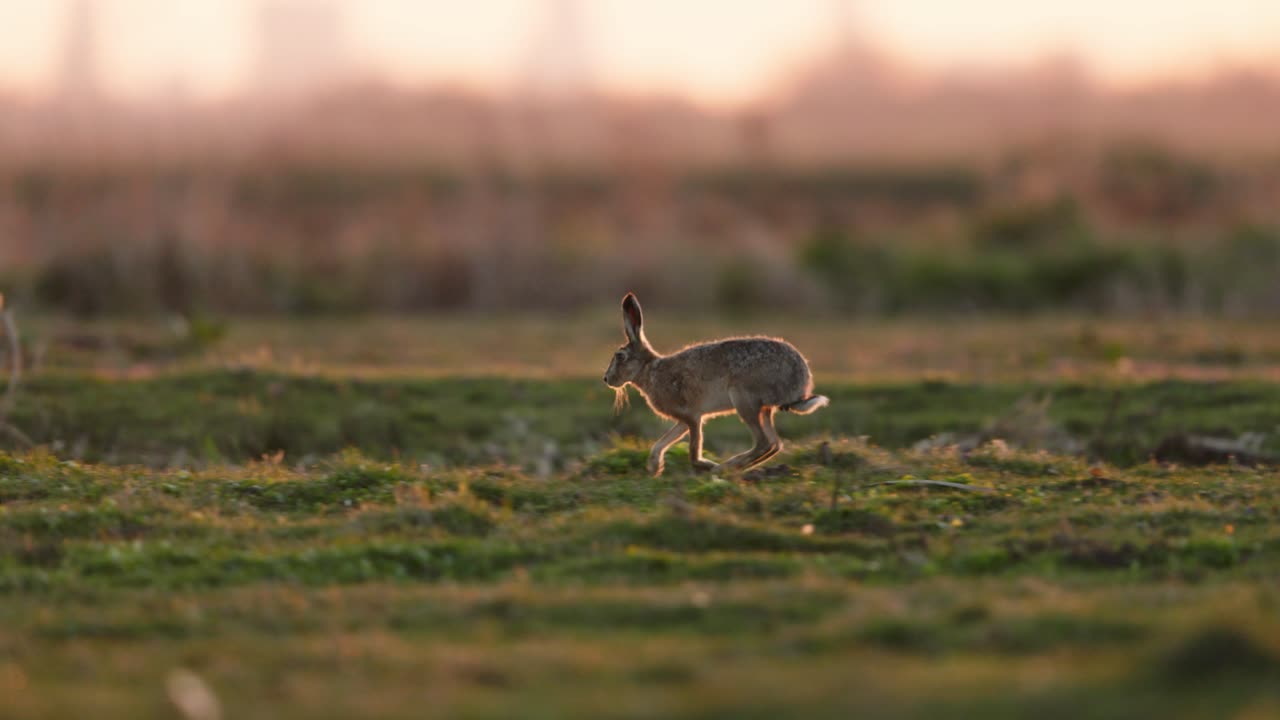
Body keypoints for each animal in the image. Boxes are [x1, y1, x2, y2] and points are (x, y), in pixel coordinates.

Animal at [603, 293, 829, 477]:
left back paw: (723, 468)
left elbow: (693, 453)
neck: (649, 370)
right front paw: (654, 467)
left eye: (619, 356)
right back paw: (735, 467)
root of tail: (800, 386)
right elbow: (663, 441)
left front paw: (707, 465)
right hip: (763, 408)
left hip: (743, 398)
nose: (606, 379)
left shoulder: (692, 417)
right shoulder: (685, 420)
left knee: (763, 442)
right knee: (774, 444)